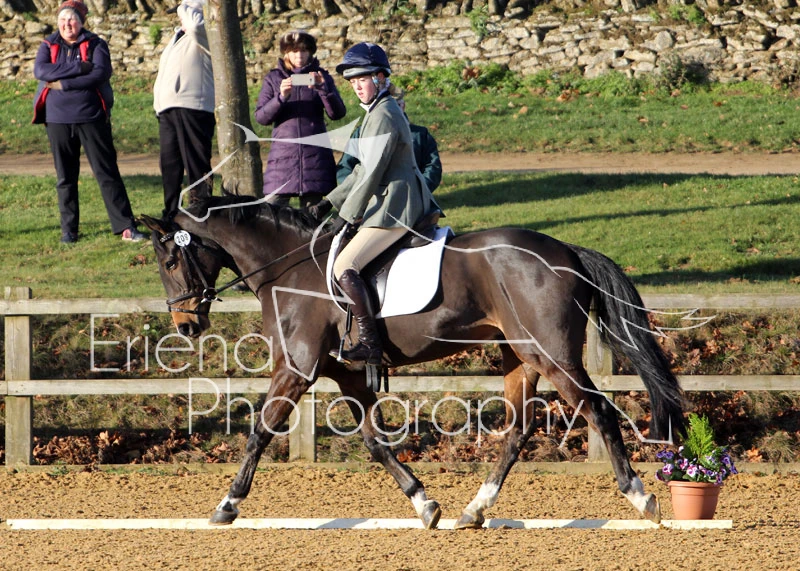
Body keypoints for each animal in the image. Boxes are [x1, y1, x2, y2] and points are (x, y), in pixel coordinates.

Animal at [140, 195, 685, 529]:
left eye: (169, 261)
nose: (186, 325)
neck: (290, 267)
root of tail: (566, 250)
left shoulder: (296, 369)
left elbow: (260, 431)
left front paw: (227, 505)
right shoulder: (347, 374)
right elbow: (375, 442)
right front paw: (424, 504)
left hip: (550, 354)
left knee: (599, 411)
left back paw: (641, 497)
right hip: (519, 354)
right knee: (520, 427)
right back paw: (475, 509)